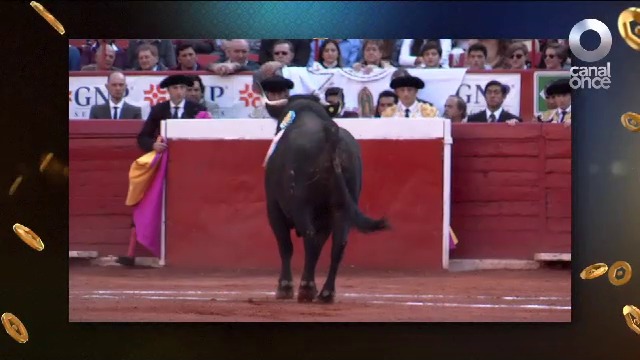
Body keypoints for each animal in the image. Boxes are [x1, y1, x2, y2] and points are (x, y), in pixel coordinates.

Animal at [262, 96, 390, 304]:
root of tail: (330, 135)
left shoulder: (274, 209)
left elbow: (285, 246)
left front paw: (285, 287)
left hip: (302, 206)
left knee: (309, 239)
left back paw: (306, 289)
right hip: (341, 208)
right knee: (338, 245)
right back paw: (326, 293)